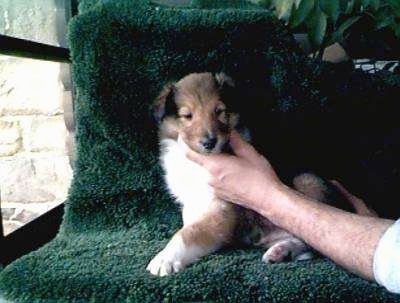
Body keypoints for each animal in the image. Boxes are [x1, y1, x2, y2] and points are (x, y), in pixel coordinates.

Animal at [146, 72, 334, 276]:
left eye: (219, 111)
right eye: (187, 115)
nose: (209, 142)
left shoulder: (223, 210)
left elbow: (189, 232)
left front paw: (164, 258)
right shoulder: (194, 202)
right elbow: (189, 222)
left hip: (307, 180)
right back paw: (281, 251)